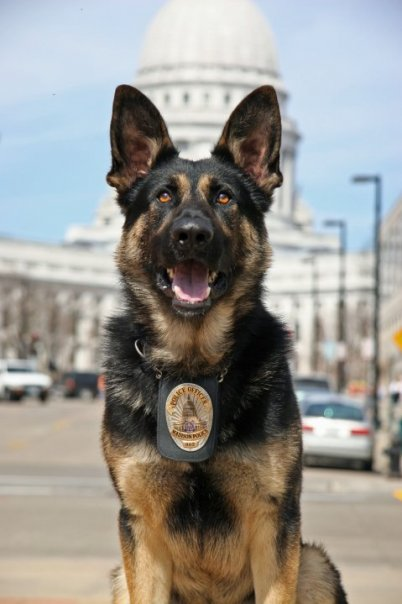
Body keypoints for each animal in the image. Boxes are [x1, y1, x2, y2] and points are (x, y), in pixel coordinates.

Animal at [102, 85, 348, 604]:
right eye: (163, 196)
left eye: (224, 197)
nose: (192, 235)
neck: (194, 364)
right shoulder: (141, 529)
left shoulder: (275, 522)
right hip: (118, 577)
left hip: (315, 565)